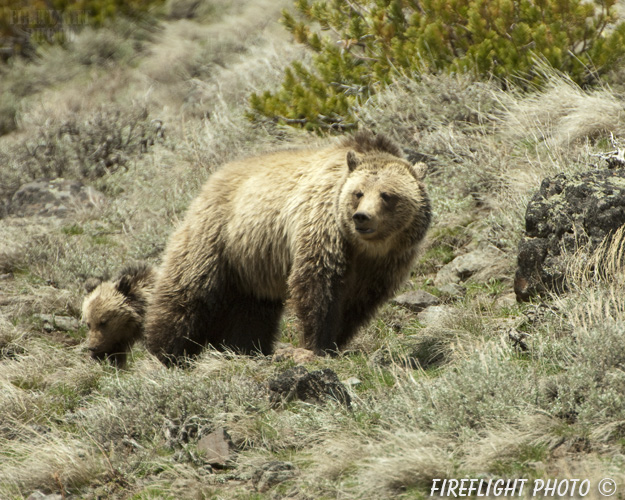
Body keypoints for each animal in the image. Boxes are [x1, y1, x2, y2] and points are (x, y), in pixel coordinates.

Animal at [145, 131, 428, 364]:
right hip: (218, 238)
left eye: (387, 195)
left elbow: (356, 304)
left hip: (252, 268)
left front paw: (336, 342)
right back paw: (165, 351)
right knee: (189, 292)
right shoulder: (324, 230)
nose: (362, 217)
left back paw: (243, 348)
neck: (365, 247)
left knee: (251, 314)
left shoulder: (384, 264)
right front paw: (316, 345)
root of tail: (210, 181)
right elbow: (318, 286)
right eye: (358, 193)